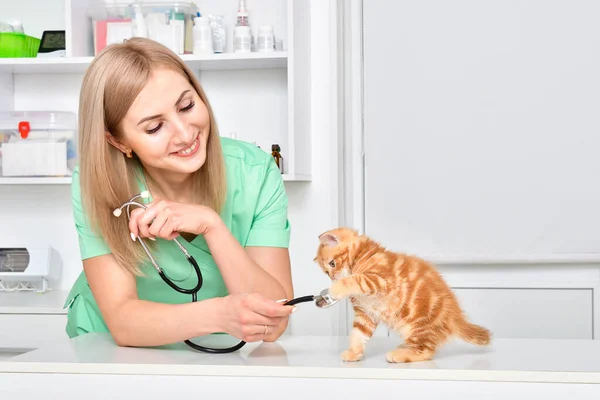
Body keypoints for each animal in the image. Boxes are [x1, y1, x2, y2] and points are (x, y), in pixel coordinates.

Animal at [312, 228, 490, 362]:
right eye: (326, 272)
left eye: (332, 263)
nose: (333, 278)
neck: (364, 257)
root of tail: (454, 314)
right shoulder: (365, 313)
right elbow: (358, 333)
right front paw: (354, 352)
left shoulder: (380, 279)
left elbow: (356, 279)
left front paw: (336, 288)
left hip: (418, 325)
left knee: (427, 350)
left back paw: (400, 354)